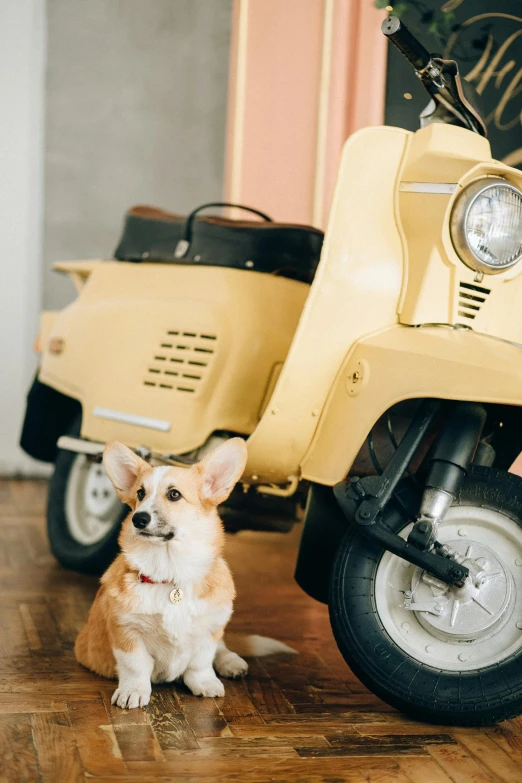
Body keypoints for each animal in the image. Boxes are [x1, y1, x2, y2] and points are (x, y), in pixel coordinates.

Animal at [74, 438, 292, 712]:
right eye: (140, 494)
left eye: (174, 494)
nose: (138, 519)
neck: (170, 572)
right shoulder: (126, 631)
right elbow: (135, 666)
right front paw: (133, 691)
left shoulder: (209, 629)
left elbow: (201, 662)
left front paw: (205, 682)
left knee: (222, 647)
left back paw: (231, 663)